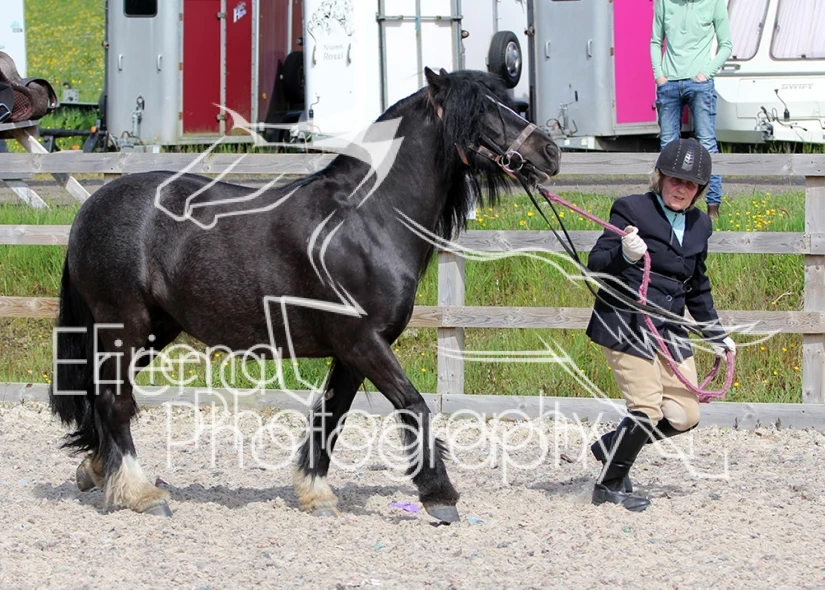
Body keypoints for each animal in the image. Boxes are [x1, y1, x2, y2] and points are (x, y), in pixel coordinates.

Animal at [48, 67, 561, 522]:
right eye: (480, 110)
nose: (550, 151)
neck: (366, 219)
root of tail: (91, 208)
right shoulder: (362, 341)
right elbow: (413, 405)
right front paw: (440, 496)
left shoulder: (353, 351)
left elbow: (332, 415)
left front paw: (316, 493)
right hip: (125, 325)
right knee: (114, 402)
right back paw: (141, 493)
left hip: (155, 330)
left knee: (106, 397)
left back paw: (97, 469)